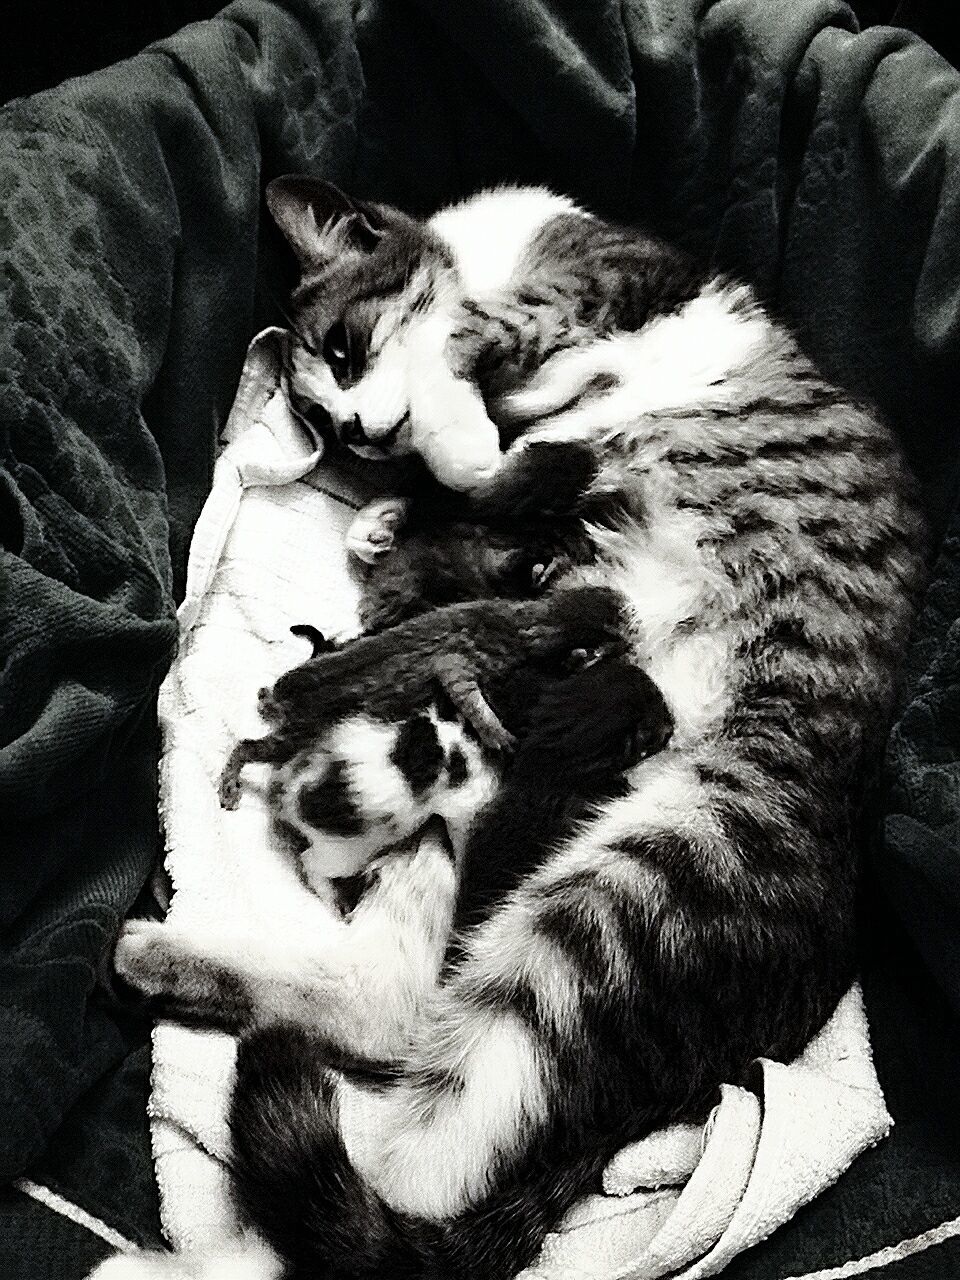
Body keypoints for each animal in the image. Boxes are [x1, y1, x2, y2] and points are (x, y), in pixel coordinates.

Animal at [99, 183, 931, 1280]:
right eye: (326, 425)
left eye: (347, 349)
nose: (359, 430)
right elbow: (476, 443)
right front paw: (410, 500)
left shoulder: (603, 284)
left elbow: (477, 362)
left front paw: (457, 442)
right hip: (502, 876)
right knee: (394, 1038)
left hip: (621, 896)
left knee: (401, 1135)